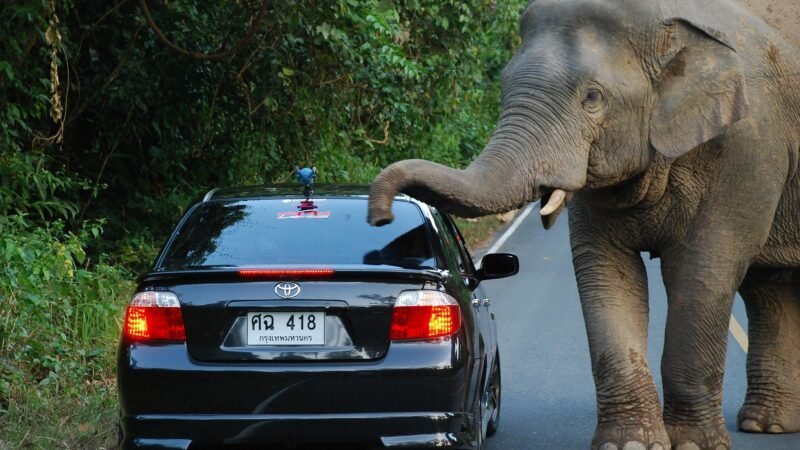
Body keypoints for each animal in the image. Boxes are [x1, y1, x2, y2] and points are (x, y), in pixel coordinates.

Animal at [367, 0, 800, 449]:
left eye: (592, 97)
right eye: (503, 84)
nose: (379, 215)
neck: (667, 22)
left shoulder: (749, 149)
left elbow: (703, 270)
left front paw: (692, 444)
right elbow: (604, 269)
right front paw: (629, 443)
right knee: (769, 290)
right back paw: (767, 425)